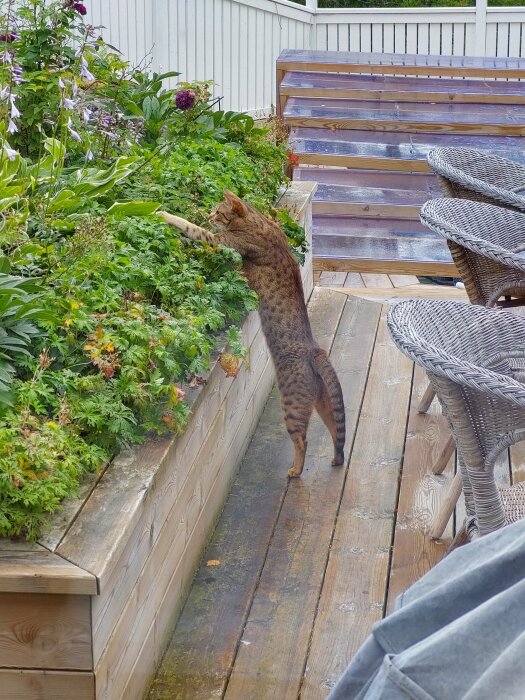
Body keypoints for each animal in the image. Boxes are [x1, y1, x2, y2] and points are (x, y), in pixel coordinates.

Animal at [160, 190, 348, 476]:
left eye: (218, 211)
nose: (208, 215)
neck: (257, 221)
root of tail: (315, 350)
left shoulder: (221, 242)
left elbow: (192, 229)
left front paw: (164, 214)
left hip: (292, 403)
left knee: (302, 441)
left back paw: (295, 470)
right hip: (323, 402)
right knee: (336, 433)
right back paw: (336, 460)